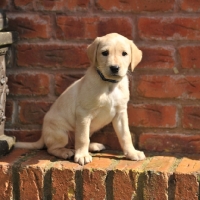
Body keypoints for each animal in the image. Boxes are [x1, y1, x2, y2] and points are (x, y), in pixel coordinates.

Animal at [14, 32, 145, 165]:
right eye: (104, 53)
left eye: (124, 53)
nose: (114, 68)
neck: (109, 84)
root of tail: (43, 134)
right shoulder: (84, 113)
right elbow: (82, 138)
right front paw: (82, 155)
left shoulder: (120, 113)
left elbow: (125, 136)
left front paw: (132, 153)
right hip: (61, 133)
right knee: (52, 148)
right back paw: (66, 152)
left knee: (75, 143)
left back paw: (92, 146)